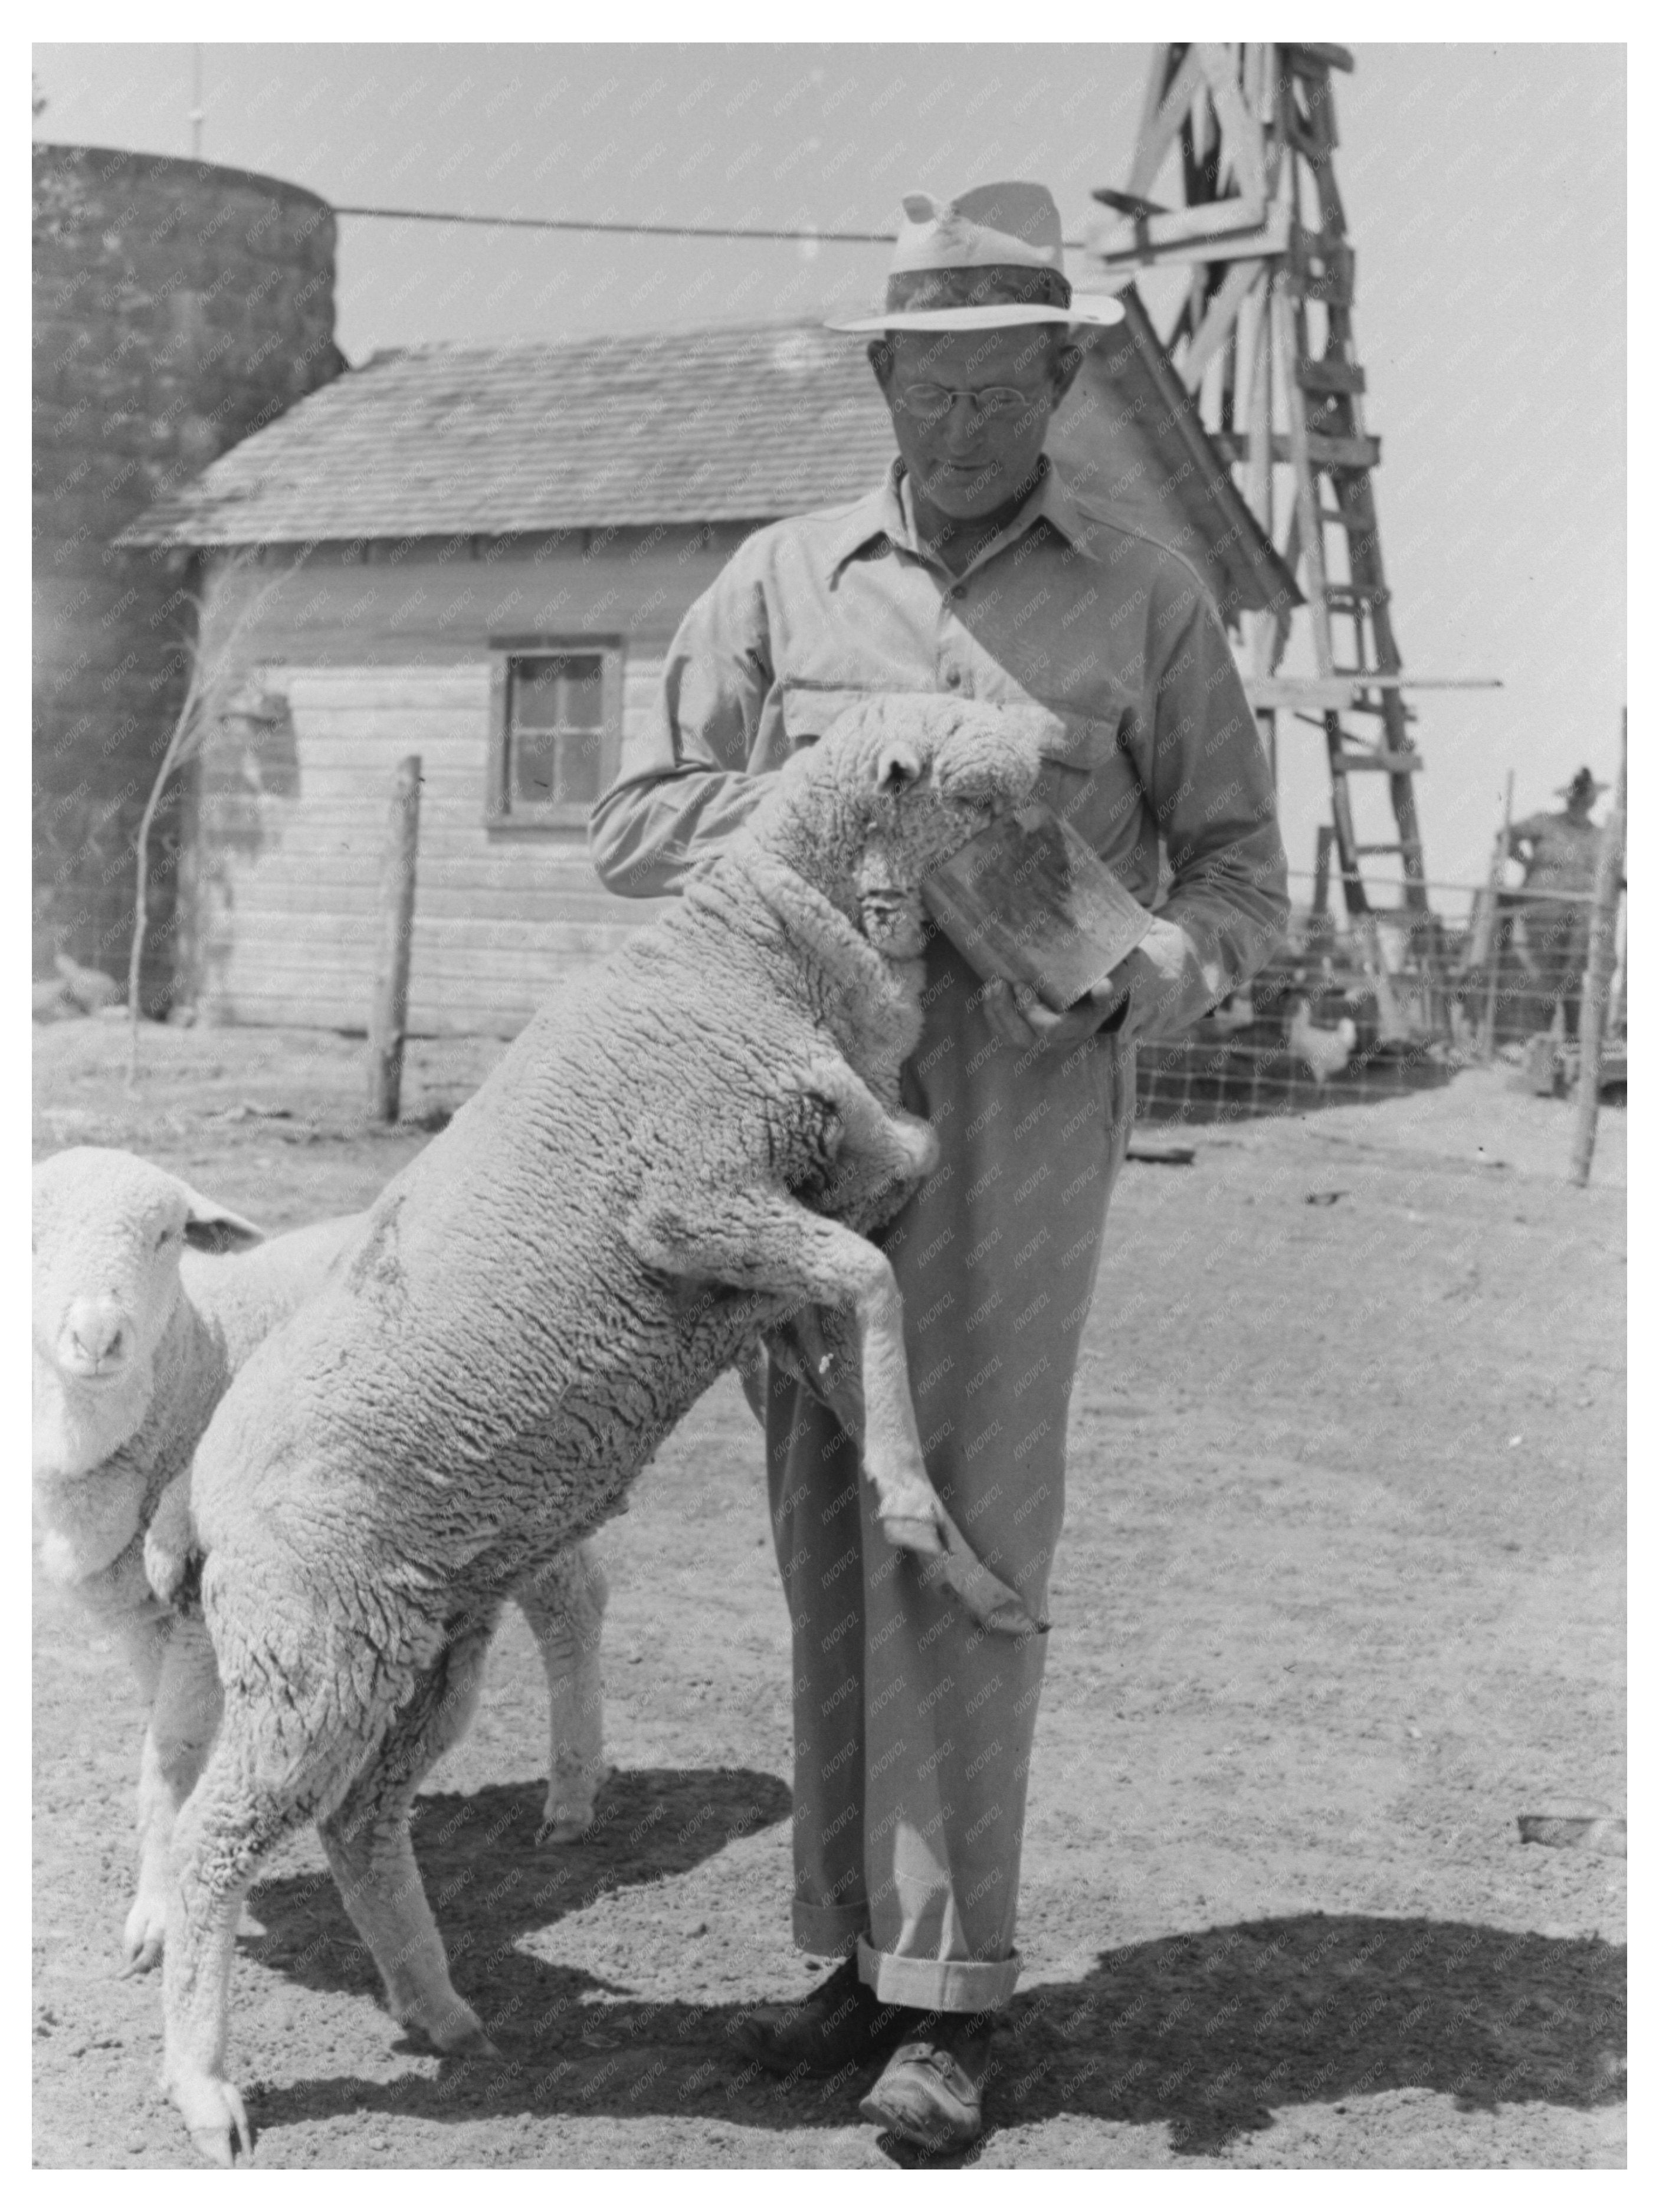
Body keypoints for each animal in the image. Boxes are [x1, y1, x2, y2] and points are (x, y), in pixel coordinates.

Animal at [156, 690, 1053, 2159]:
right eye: (956, 724)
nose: (1055, 732)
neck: (749, 951)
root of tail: (201, 1494)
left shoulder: (760, 1279)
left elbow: (868, 1291)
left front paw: (951, 1552)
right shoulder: (695, 1202)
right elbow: (874, 1272)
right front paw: (925, 1514)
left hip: (424, 1642)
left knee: (361, 1823)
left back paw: (438, 2005)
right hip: (309, 1654)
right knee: (211, 1840)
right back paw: (205, 2082)